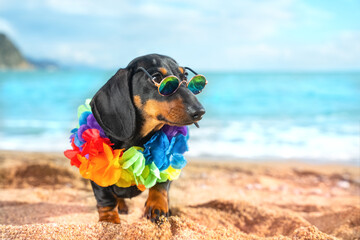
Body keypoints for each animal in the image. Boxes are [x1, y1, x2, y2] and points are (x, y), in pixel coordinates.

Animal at [87, 54, 207, 223]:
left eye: (185, 76)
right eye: (156, 78)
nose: (200, 112)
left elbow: (161, 184)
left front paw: (157, 205)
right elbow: (106, 199)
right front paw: (110, 221)